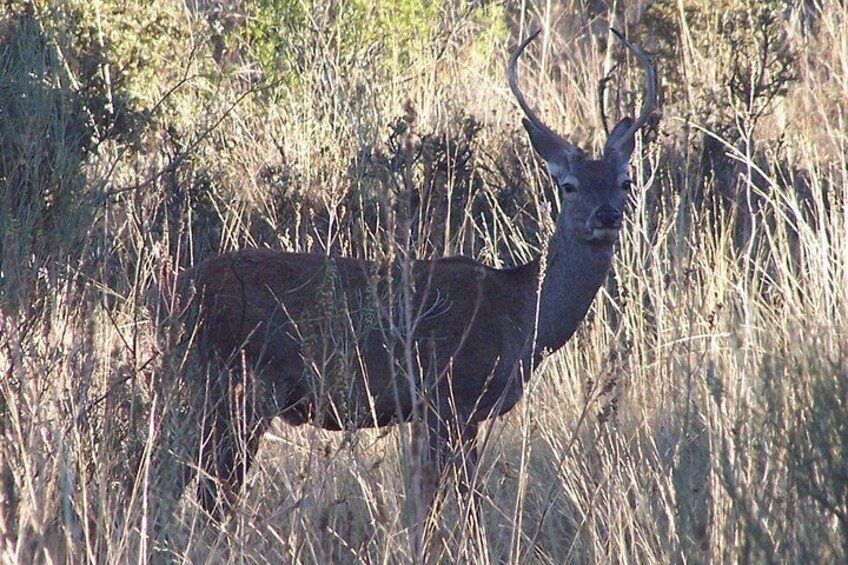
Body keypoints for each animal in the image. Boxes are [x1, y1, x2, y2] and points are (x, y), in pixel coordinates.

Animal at [164, 27, 656, 520]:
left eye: (625, 180)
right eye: (568, 185)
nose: (607, 215)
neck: (521, 318)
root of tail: (175, 292)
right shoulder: (451, 396)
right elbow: (458, 499)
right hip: (239, 385)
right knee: (200, 486)